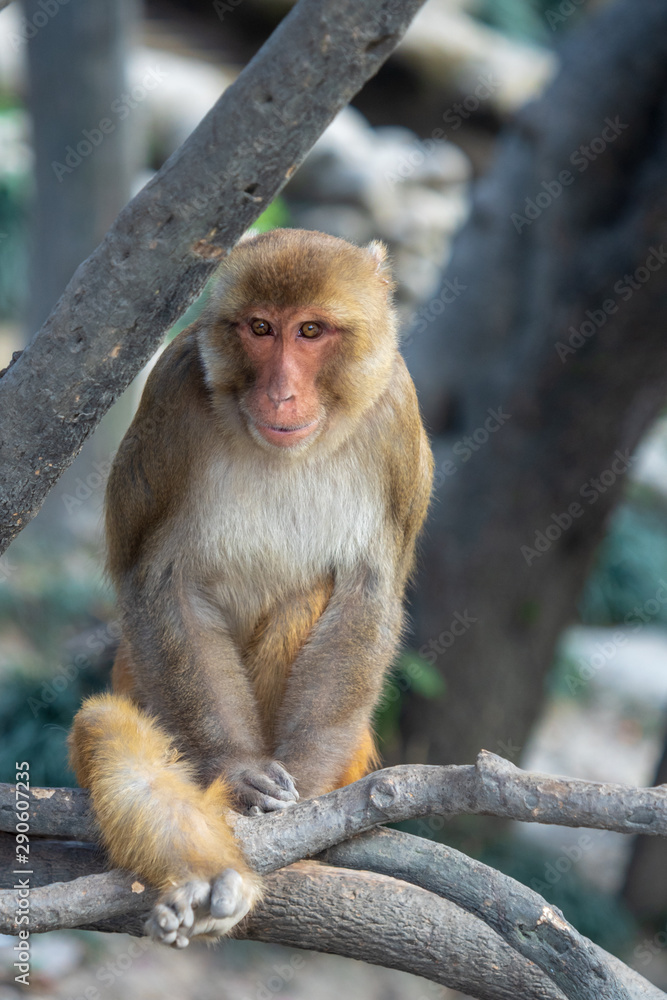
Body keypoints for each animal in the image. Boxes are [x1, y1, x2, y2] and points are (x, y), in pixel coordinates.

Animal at [69, 228, 434, 947]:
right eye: (261, 329)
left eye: (312, 331)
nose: (281, 394)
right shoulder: (173, 389)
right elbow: (160, 584)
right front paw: (239, 774)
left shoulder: (396, 416)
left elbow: (367, 593)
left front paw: (310, 794)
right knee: (110, 726)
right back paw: (204, 878)